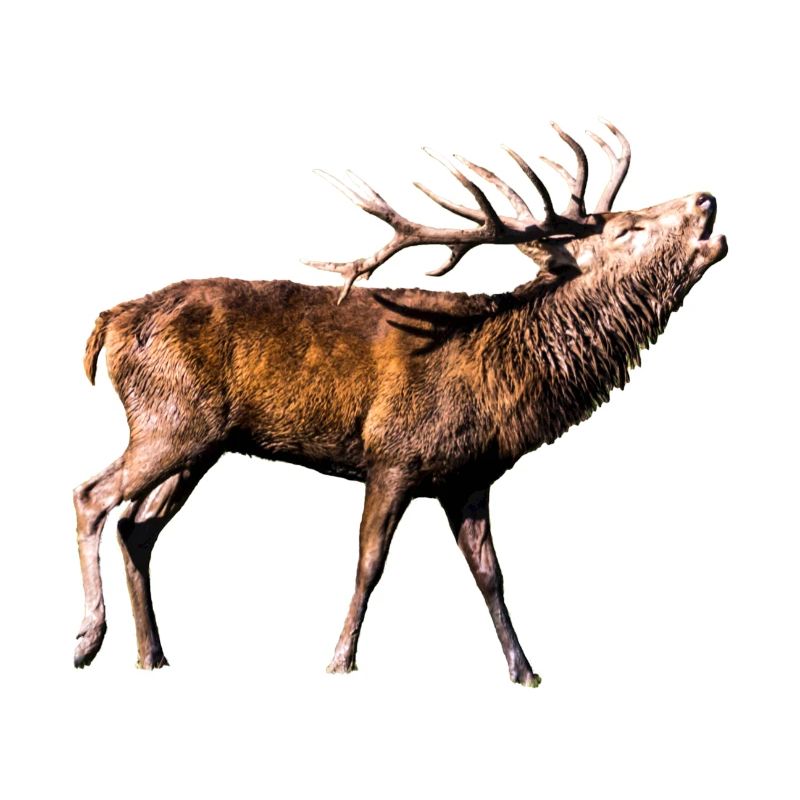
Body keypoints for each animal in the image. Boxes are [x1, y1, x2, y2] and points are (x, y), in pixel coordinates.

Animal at [73, 120, 727, 685]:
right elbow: (370, 564)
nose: (706, 199)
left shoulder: (469, 478)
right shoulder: (392, 455)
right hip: (169, 421)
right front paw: (340, 660)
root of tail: (111, 319)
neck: (501, 379)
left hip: (200, 443)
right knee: (92, 496)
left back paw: (151, 655)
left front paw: (525, 670)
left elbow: (492, 576)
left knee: (137, 526)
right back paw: (87, 639)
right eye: (625, 229)